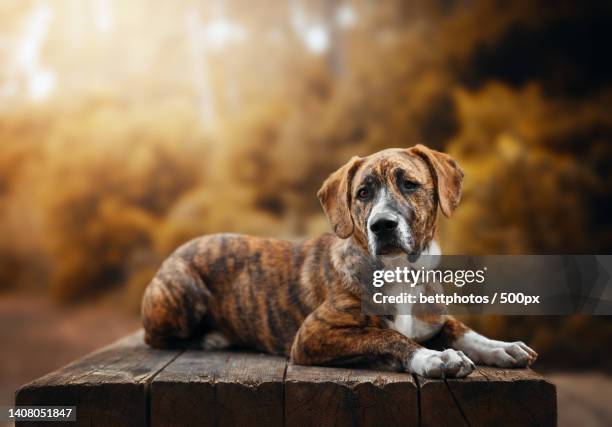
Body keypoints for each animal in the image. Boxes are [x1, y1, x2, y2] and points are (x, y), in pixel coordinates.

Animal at [142, 145, 536, 378]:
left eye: (409, 184)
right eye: (363, 192)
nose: (382, 225)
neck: (401, 274)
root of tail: (178, 249)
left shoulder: (435, 318)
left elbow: (463, 330)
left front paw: (501, 347)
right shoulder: (313, 334)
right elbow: (386, 336)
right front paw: (433, 358)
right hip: (184, 294)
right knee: (154, 336)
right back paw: (211, 338)